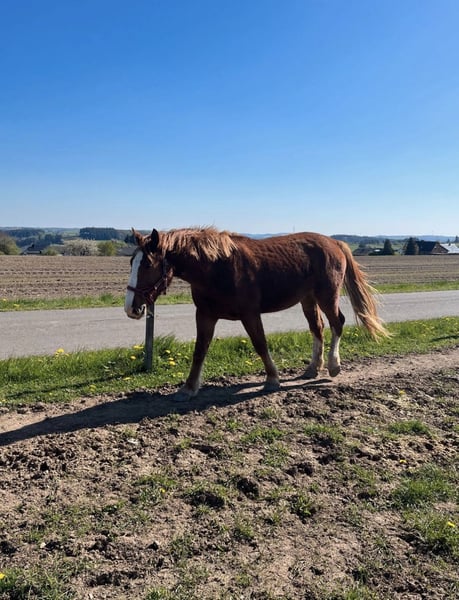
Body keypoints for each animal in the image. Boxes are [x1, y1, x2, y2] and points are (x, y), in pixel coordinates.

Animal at [125, 227, 388, 399]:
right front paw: (189, 387)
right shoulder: (205, 315)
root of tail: (335, 243)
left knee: (337, 323)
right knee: (318, 328)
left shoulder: (250, 314)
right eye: (131, 263)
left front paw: (272, 379)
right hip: (308, 299)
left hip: (327, 296)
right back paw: (313, 368)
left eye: (147, 264)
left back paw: (333, 365)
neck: (216, 267)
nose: (131, 308)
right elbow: (200, 351)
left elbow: (260, 344)